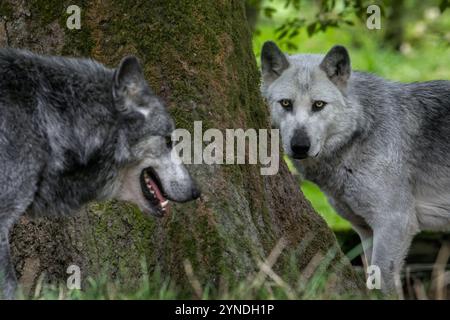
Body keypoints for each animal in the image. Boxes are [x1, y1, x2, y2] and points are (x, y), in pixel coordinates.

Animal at [260, 41, 450, 294]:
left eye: (318, 105)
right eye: (286, 103)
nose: (300, 146)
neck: (363, 131)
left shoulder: (395, 223)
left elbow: (383, 284)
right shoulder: (365, 229)